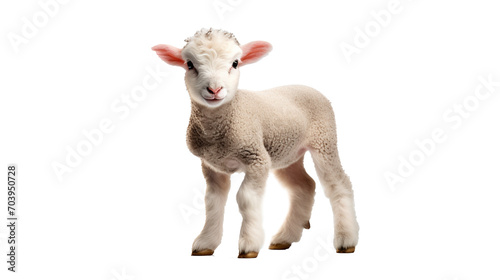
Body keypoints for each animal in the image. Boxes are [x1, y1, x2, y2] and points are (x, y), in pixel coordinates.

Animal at [152, 28, 360, 258]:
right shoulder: (212, 166)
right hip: (287, 154)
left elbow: (245, 198)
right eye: (189, 64)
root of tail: (308, 87)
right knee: (304, 186)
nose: (214, 90)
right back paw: (285, 238)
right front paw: (206, 242)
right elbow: (212, 202)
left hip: (324, 141)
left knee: (338, 184)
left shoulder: (256, 159)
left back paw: (346, 239)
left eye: (235, 63)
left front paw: (248, 244)